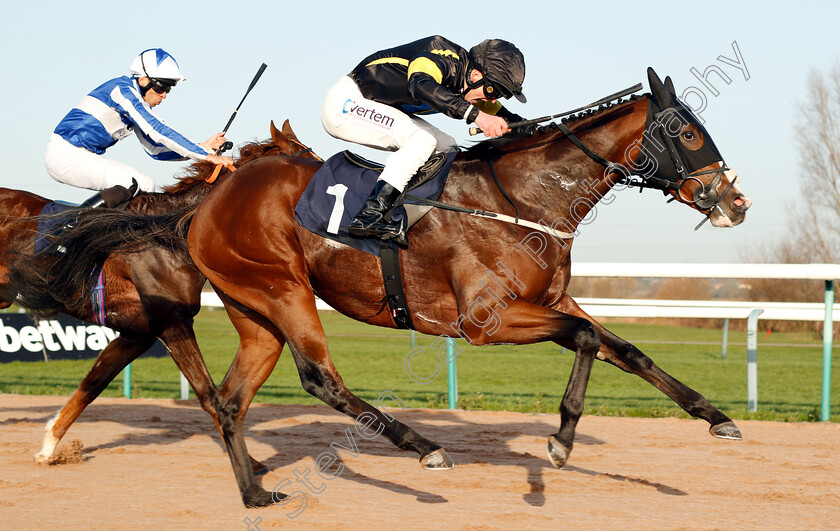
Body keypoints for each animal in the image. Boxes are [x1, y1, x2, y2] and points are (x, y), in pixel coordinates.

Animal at [0, 120, 320, 470]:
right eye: (310, 166)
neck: (169, 233)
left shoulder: (137, 334)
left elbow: (92, 384)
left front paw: (49, 447)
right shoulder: (172, 323)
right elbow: (210, 395)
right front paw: (249, 462)